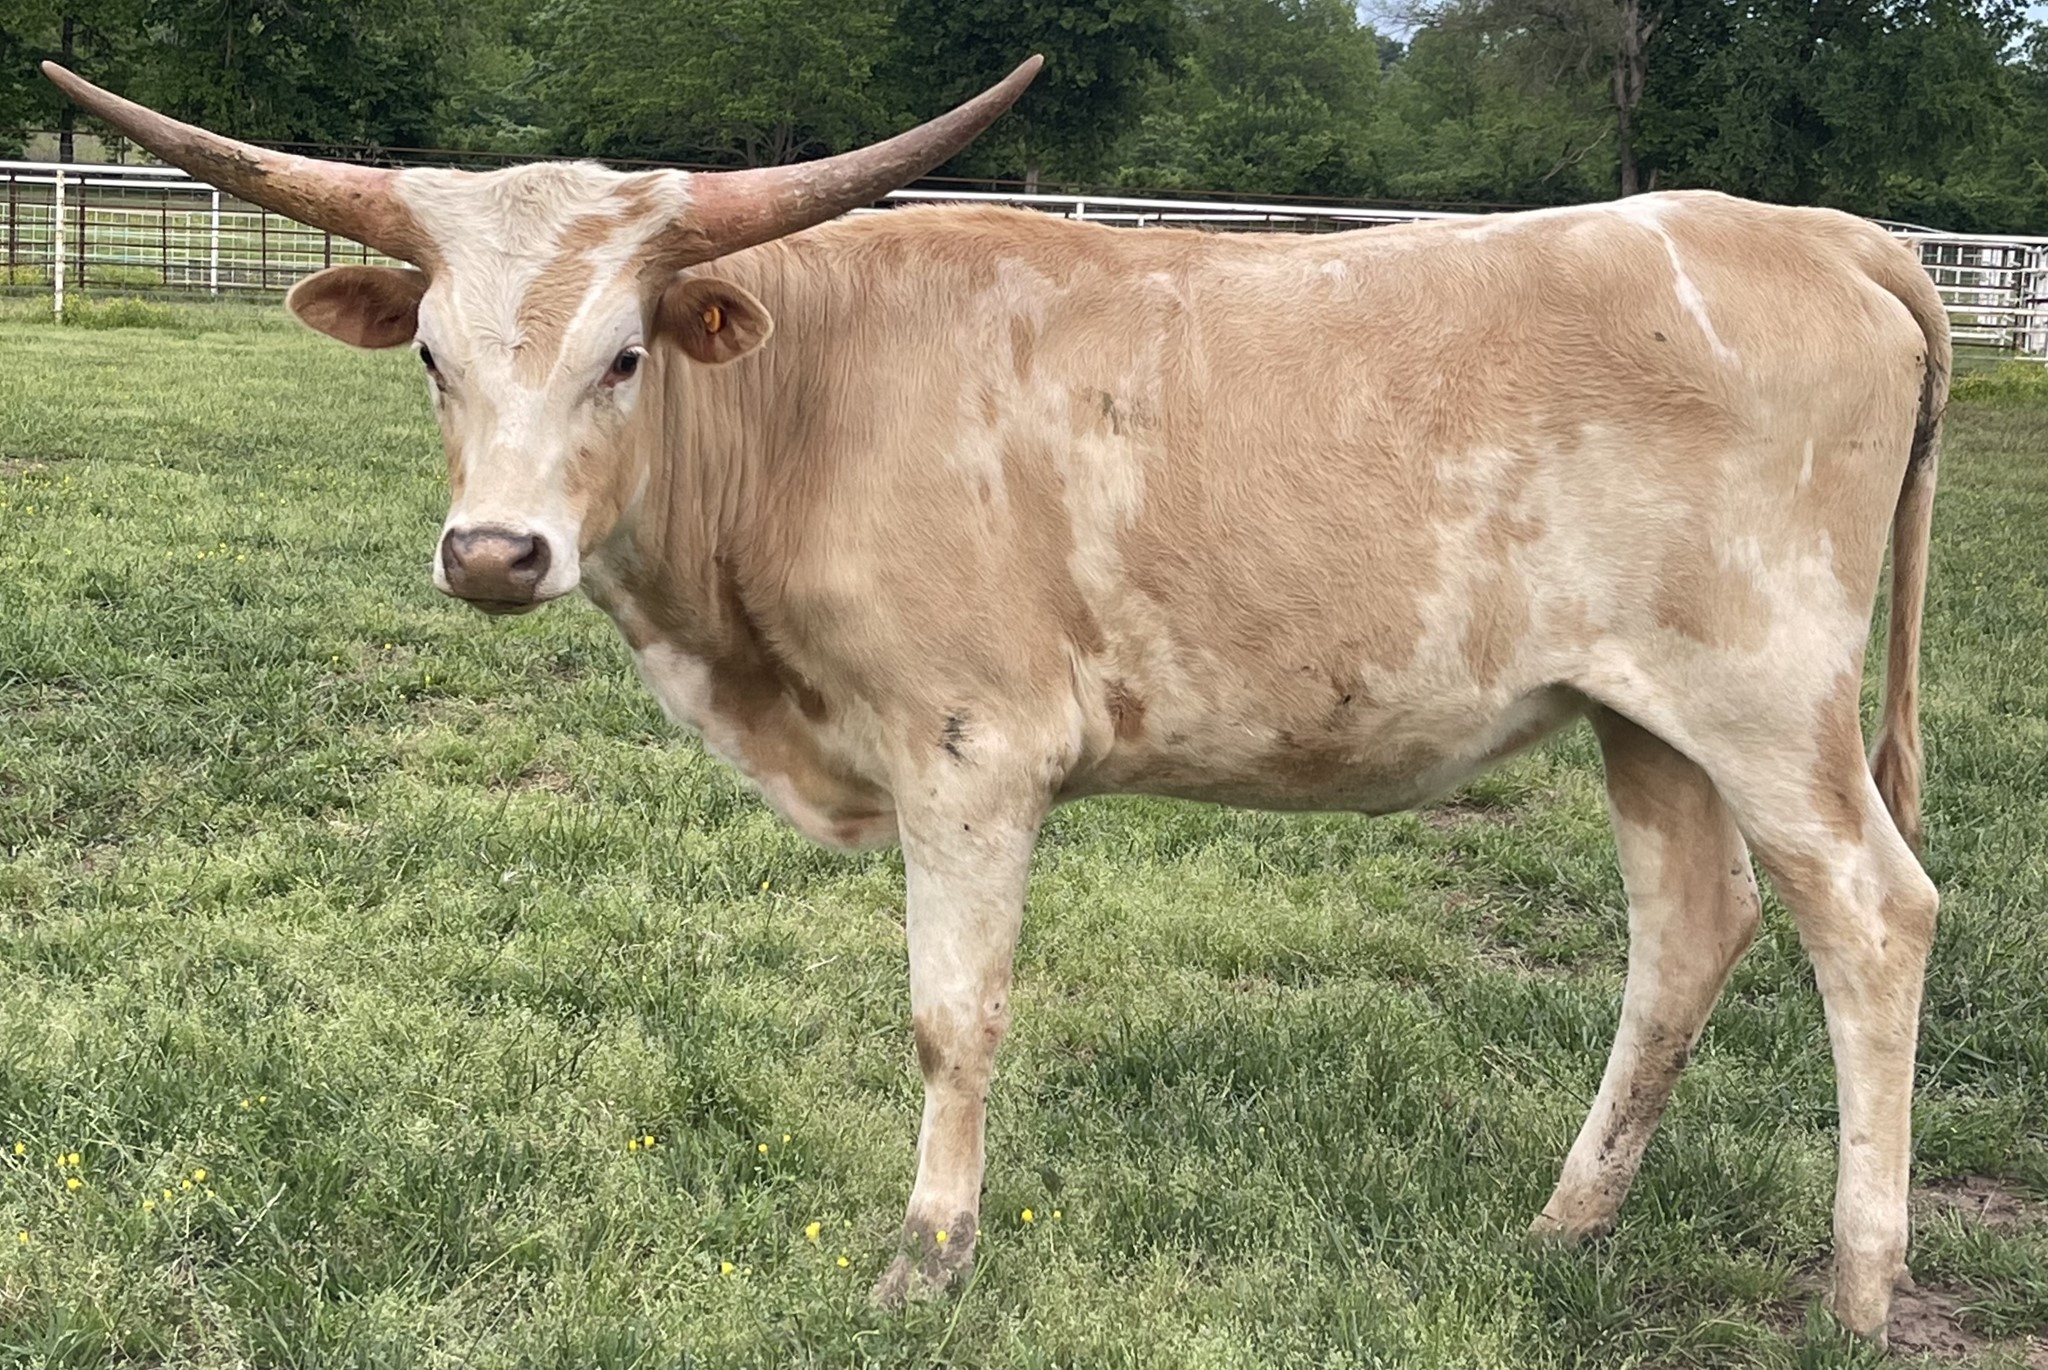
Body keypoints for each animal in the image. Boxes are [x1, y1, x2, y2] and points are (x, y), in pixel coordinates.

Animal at [45, 59, 1949, 1344]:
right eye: (435, 356)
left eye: (623, 354)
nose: (496, 550)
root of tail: (1824, 235)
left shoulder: (971, 754)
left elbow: (949, 1018)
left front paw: (930, 1252)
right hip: (1646, 712)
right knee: (1686, 929)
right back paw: (1568, 1223)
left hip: (1766, 696)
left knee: (1870, 915)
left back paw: (1857, 1286)